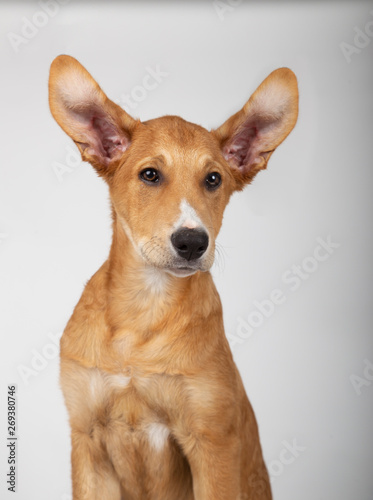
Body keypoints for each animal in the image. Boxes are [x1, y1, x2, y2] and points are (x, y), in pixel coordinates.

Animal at [48, 55, 296, 500]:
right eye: (150, 175)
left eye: (213, 179)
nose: (192, 242)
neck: (146, 307)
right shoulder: (87, 439)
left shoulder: (212, 444)